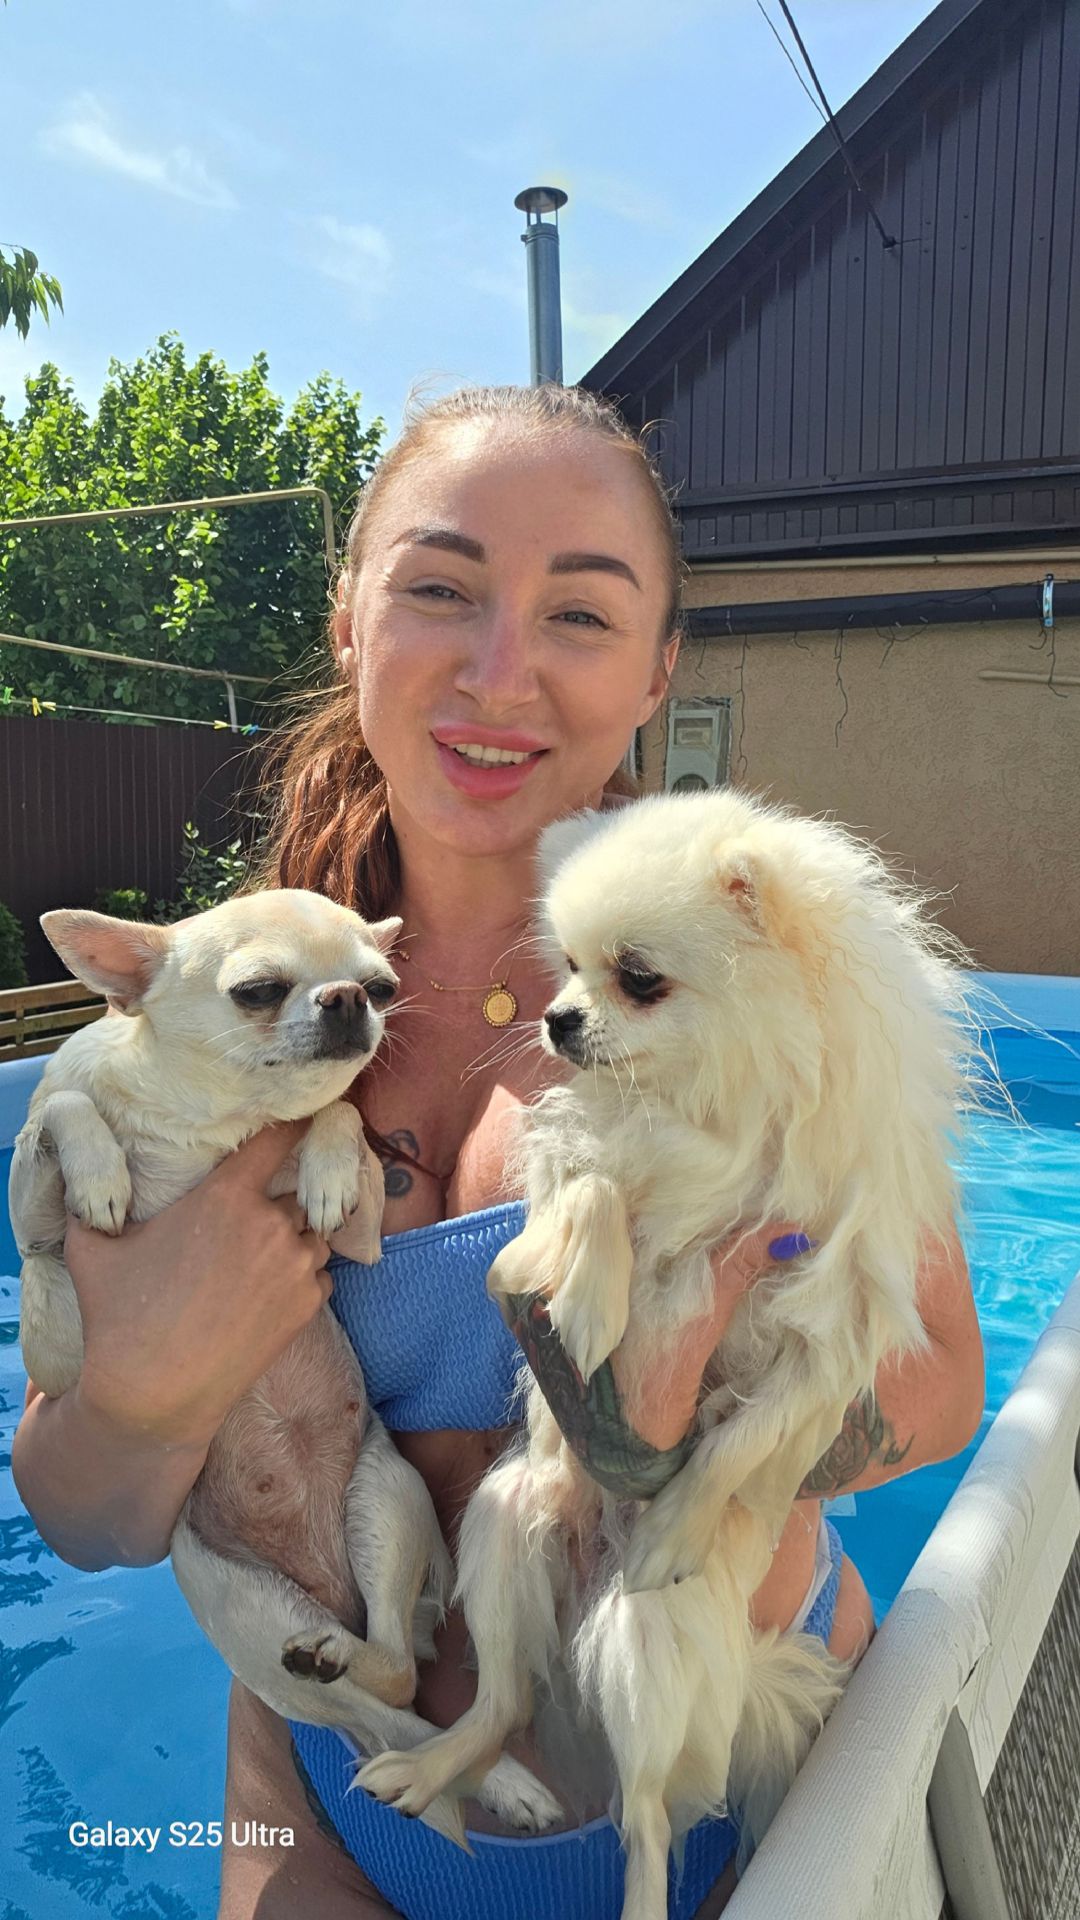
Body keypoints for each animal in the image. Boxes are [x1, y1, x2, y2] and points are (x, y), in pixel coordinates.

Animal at [9, 889, 559, 1845]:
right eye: (258, 990)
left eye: (381, 985)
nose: (347, 1001)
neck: (215, 1126)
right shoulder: (38, 1239)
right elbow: (63, 1109)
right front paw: (101, 1173)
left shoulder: (356, 1239)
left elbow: (333, 1120)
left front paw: (329, 1164)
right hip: (251, 1604)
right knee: (390, 1706)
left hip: (383, 1500)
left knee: (397, 1671)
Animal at [356, 790, 971, 1916]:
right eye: (564, 968)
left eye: (638, 978)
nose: (557, 1018)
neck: (705, 1110)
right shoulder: (569, 1172)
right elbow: (597, 1185)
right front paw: (593, 1298)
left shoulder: (829, 1326)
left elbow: (745, 1441)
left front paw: (682, 1522)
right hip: (504, 1526)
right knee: (502, 1706)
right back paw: (428, 1768)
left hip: (644, 1647)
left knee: (644, 1822)